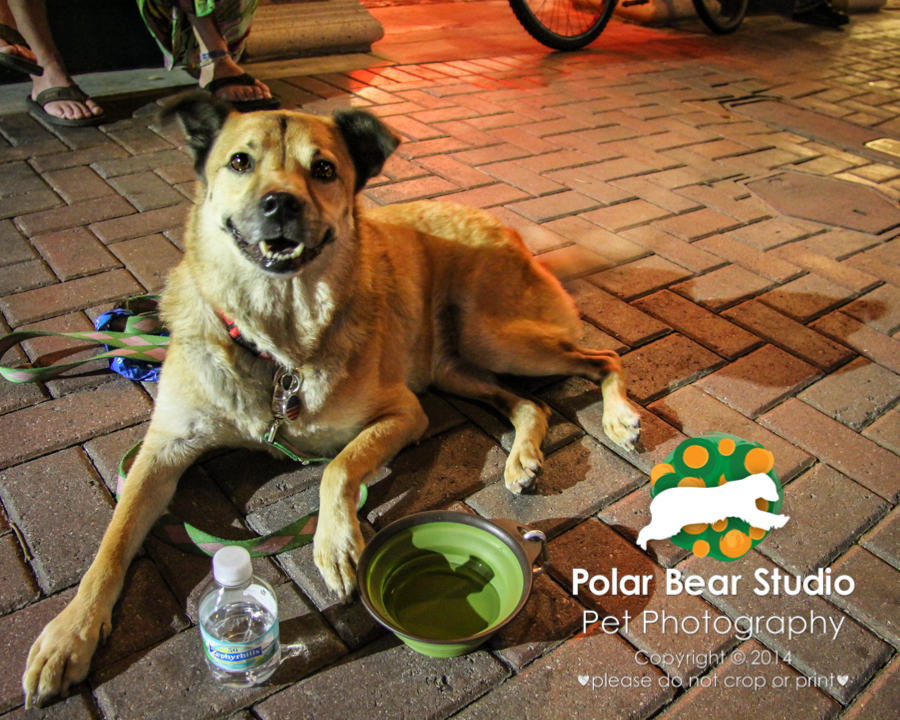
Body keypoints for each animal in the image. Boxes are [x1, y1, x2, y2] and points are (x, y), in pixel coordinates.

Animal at [21, 93, 640, 704]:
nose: (280, 204)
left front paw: (335, 543)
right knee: (532, 403)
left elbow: (337, 468)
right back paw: (522, 458)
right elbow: (113, 540)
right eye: (240, 161)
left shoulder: (403, 412)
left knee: (605, 357)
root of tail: (504, 228)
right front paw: (70, 632)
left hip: (493, 337)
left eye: (323, 170)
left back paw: (618, 418)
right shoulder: (161, 451)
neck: (275, 342)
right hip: (456, 367)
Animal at [636, 472, 792, 552]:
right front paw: (779, 520)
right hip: (667, 526)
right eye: (771, 488)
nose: (778, 497)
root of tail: (655, 502)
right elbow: (764, 516)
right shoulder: (748, 511)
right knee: (645, 531)